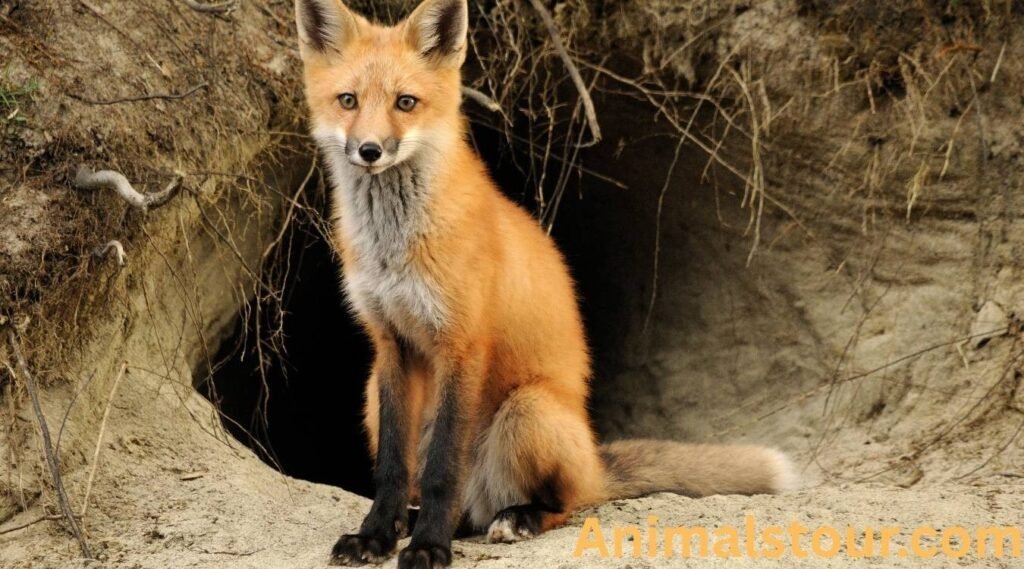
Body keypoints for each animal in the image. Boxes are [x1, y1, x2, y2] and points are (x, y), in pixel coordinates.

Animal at [293, 0, 795, 567]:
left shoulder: (463, 344)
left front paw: (428, 548)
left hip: (528, 410)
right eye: (348, 101)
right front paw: (377, 536)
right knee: (461, 504)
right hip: (372, 396)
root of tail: (594, 460)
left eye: (406, 102)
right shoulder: (392, 344)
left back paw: (518, 518)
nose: (370, 150)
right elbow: (393, 471)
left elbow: (443, 469)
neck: (395, 249)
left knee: (565, 503)